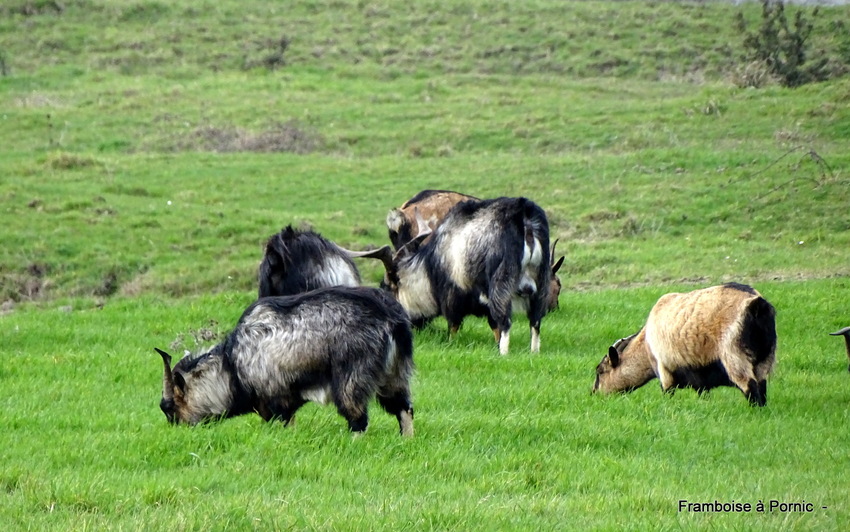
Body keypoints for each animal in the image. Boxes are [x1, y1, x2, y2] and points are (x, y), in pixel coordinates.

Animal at [157, 286, 418, 436]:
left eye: (168, 407)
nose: (177, 434)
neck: (232, 365)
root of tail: (392, 318)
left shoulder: (277, 397)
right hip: (394, 373)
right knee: (403, 408)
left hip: (352, 375)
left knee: (358, 418)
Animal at [352, 195, 548, 354]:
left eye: (385, 287)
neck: (431, 267)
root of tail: (524, 218)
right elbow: (494, 328)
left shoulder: (452, 295)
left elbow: (454, 325)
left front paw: (450, 344)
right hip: (541, 281)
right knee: (536, 321)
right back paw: (534, 352)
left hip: (502, 282)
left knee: (506, 320)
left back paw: (504, 353)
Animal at [588, 284, 776, 406]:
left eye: (600, 371)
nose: (594, 394)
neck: (645, 343)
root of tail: (756, 304)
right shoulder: (700, 377)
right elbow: (703, 394)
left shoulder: (664, 370)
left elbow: (668, 393)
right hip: (765, 357)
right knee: (761, 386)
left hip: (734, 355)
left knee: (750, 386)